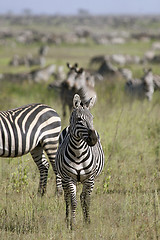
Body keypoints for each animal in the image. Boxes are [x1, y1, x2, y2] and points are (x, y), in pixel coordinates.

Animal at [55, 94, 105, 229]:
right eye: (79, 119)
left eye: (92, 118)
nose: (93, 139)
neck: (78, 153)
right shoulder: (69, 178)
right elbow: (73, 201)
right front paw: (72, 224)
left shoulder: (90, 178)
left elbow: (86, 200)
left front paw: (87, 221)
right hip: (63, 178)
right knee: (67, 197)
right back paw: (67, 219)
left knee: (83, 197)